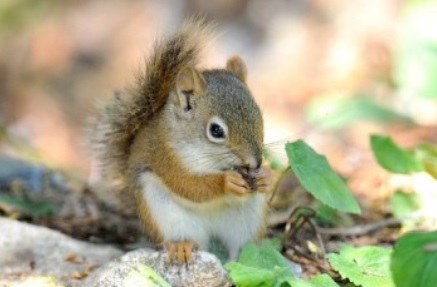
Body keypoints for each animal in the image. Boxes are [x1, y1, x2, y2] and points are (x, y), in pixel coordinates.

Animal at [90, 19, 270, 264]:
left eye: (260, 117)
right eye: (216, 130)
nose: (255, 163)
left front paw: (267, 176)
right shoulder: (165, 155)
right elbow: (188, 185)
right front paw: (227, 182)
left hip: (247, 219)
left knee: (240, 250)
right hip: (163, 210)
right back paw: (181, 245)